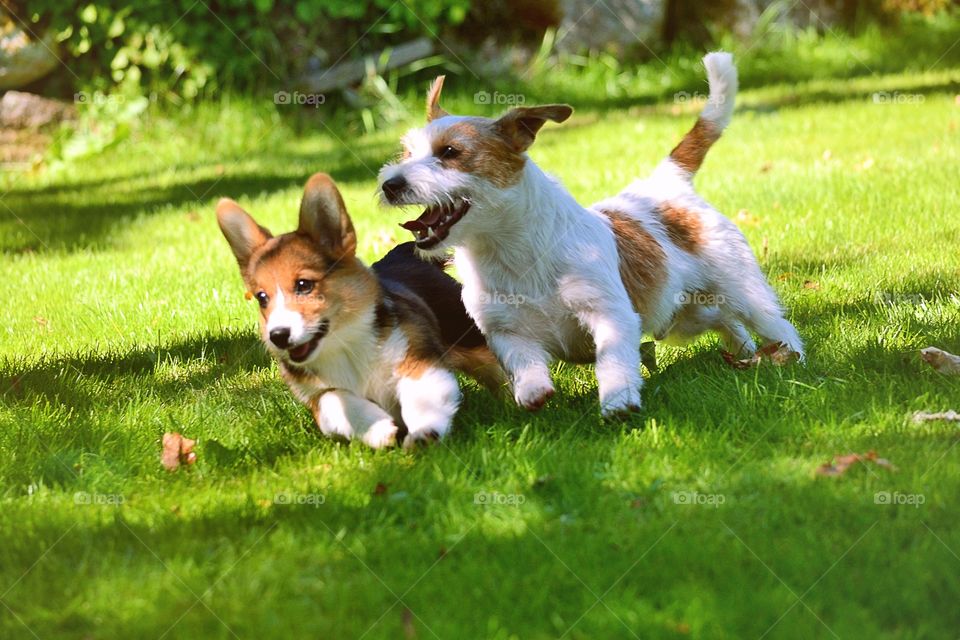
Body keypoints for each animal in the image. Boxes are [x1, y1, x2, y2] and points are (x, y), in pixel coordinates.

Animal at [216, 172, 502, 448]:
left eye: (303, 285)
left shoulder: (418, 361)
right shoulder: (316, 396)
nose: (278, 336)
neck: (343, 343)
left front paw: (424, 431)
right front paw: (378, 429)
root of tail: (406, 254)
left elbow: (421, 396)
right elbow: (335, 401)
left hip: (473, 340)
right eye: (262, 298)